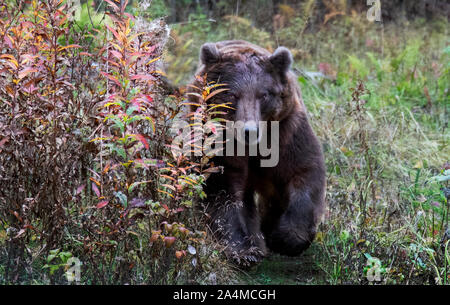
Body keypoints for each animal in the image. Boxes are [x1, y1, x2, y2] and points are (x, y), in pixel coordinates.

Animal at [188, 39, 326, 264]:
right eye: (232, 94)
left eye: (264, 94)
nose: (250, 131)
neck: (253, 148)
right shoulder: (217, 143)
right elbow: (222, 190)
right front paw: (244, 251)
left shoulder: (287, 131)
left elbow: (303, 172)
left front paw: (286, 238)